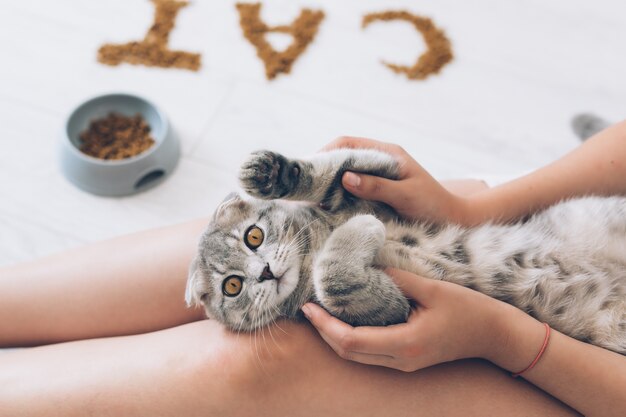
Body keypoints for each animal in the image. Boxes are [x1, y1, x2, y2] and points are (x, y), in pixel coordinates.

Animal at [185, 148, 624, 352]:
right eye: (232, 287)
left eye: (253, 236)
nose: (263, 272)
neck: (314, 246)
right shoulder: (388, 311)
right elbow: (335, 278)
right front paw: (361, 231)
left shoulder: (377, 185)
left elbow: (334, 170)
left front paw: (268, 172)